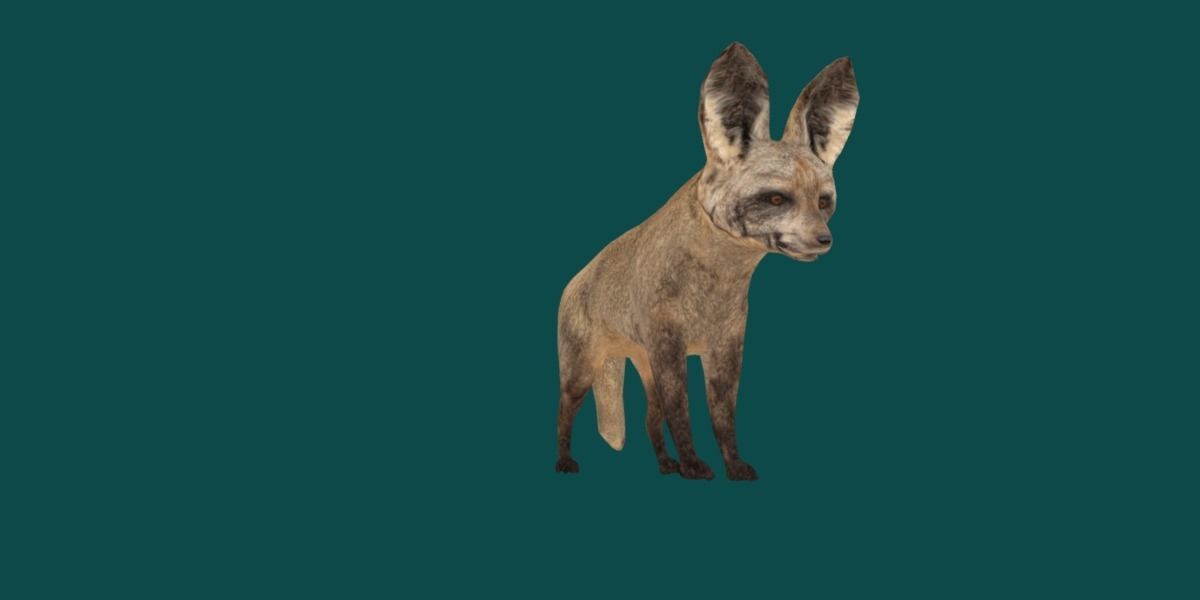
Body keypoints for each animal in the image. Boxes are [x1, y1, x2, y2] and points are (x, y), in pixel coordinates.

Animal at [556, 42, 860, 480]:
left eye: (823, 202)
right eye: (776, 199)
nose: (825, 240)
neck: (714, 288)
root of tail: (573, 280)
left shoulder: (724, 349)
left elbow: (721, 419)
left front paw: (729, 465)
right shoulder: (670, 347)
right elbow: (682, 414)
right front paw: (695, 464)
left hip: (646, 369)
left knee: (650, 419)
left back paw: (665, 464)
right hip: (582, 371)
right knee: (564, 413)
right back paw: (564, 460)